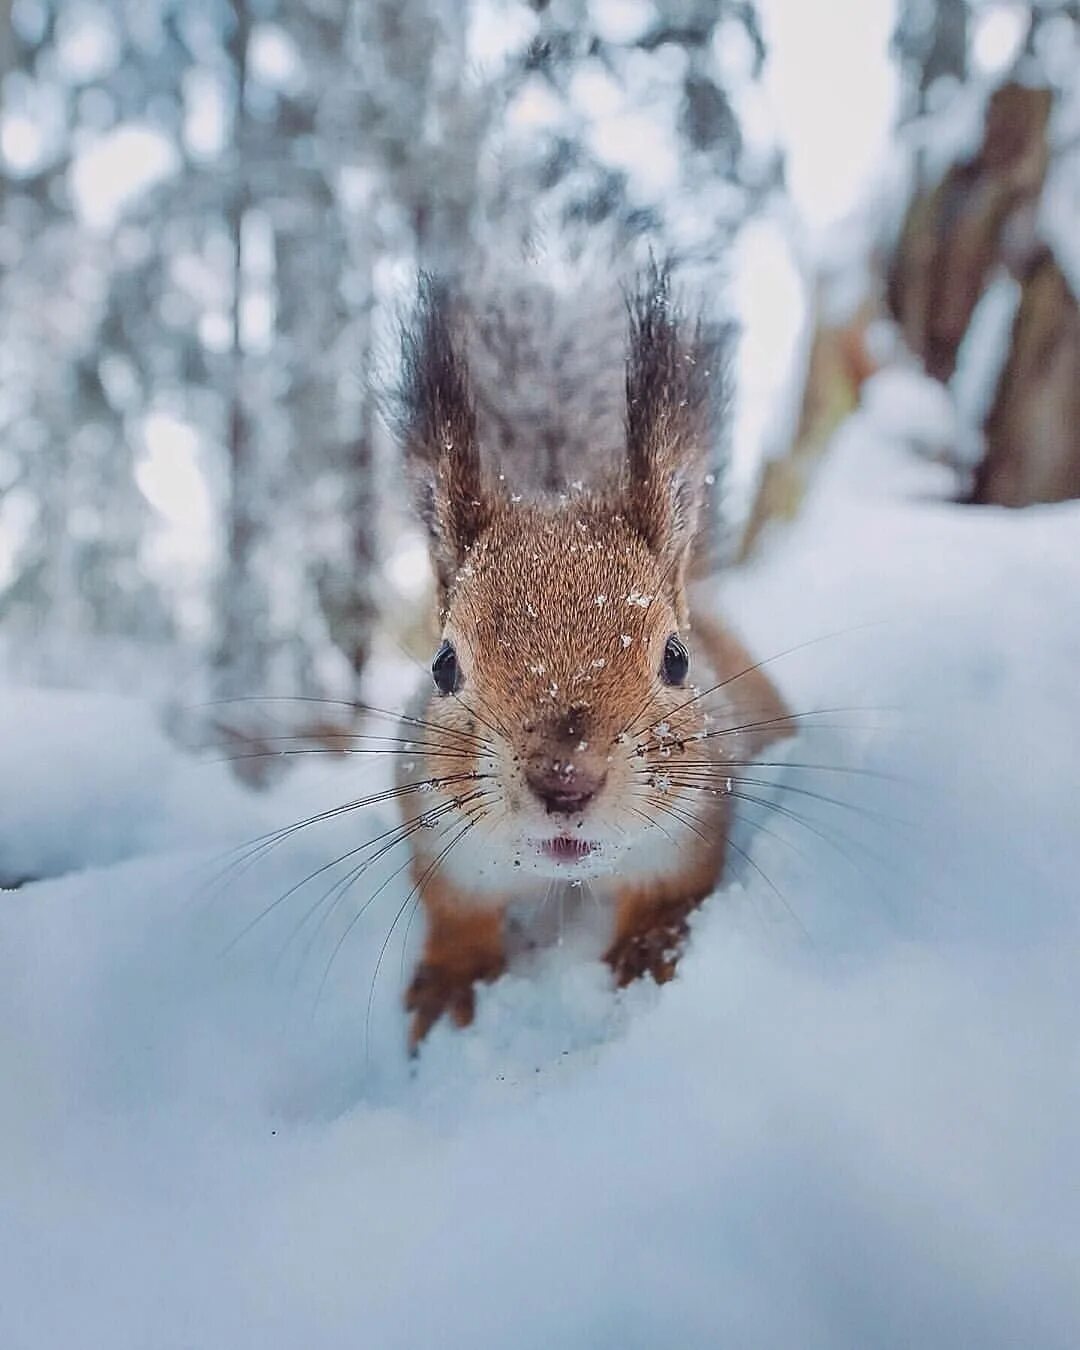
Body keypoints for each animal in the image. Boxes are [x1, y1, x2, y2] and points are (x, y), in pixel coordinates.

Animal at [391, 260, 788, 1042]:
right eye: (444, 665)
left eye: (676, 658)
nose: (567, 782)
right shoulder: (439, 840)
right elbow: (455, 913)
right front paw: (453, 980)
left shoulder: (693, 828)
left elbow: (671, 893)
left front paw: (649, 947)